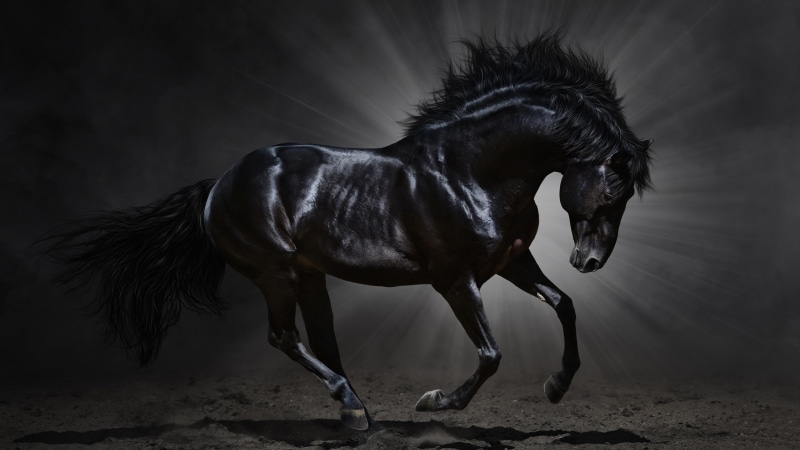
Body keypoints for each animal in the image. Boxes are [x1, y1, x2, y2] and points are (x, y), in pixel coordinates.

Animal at [46, 33, 652, 431]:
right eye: (613, 191)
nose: (590, 261)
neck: (469, 172)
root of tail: (218, 184)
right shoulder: (456, 280)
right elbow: (490, 354)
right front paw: (434, 402)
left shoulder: (511, 262)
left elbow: (564, 305)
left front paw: (556, 386)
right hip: (275, 273)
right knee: (284, 337)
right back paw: (354, 409)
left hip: (308, 276)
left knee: (322, 341)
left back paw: (359, 414)